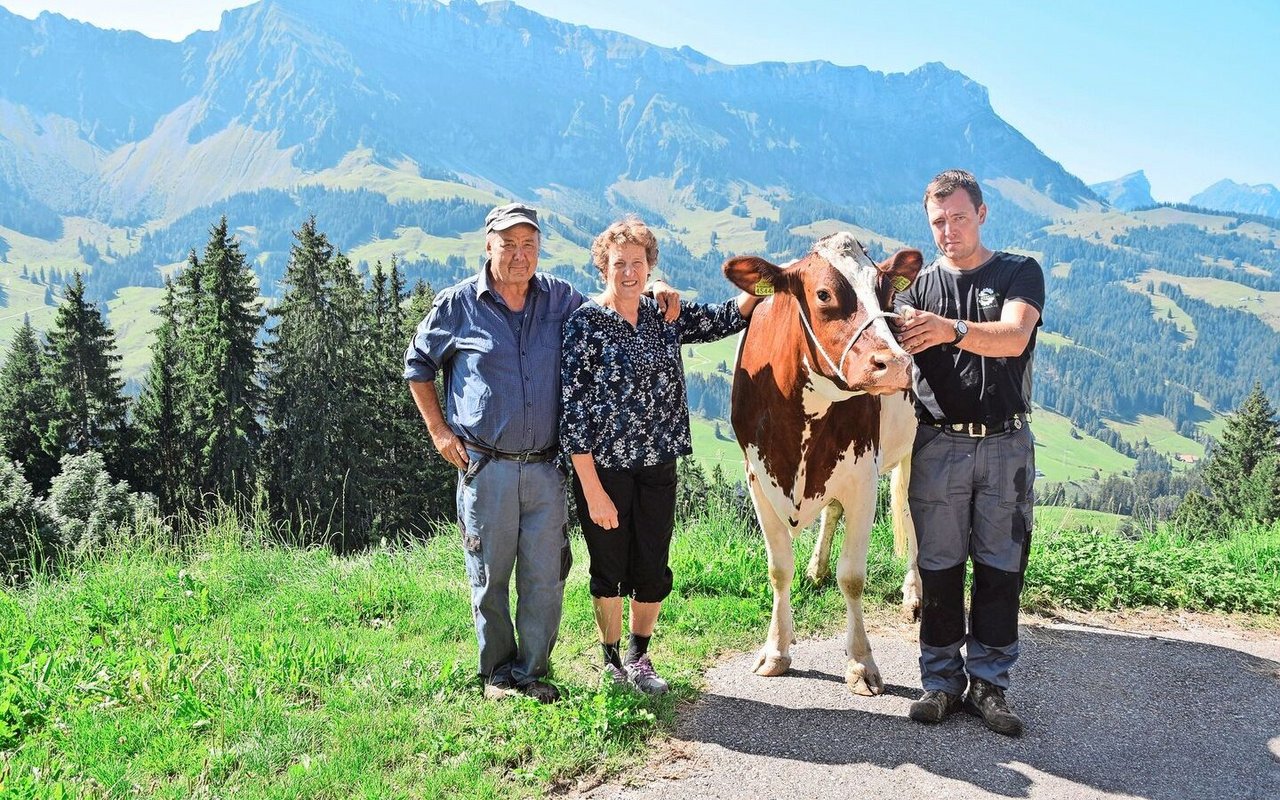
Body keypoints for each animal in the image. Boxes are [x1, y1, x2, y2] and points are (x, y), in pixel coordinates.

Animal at [727, 230, 926, 691]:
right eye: (823, 294)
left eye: (885, 290)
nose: (895, 364)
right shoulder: (758, 478)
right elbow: (778, 569)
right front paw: (776, 650)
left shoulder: (863, 478)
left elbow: (852, 577)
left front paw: (862, 662)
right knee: (832, 512)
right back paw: (816, 569)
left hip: (913, 448)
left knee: (912, 513)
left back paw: (913, 594)